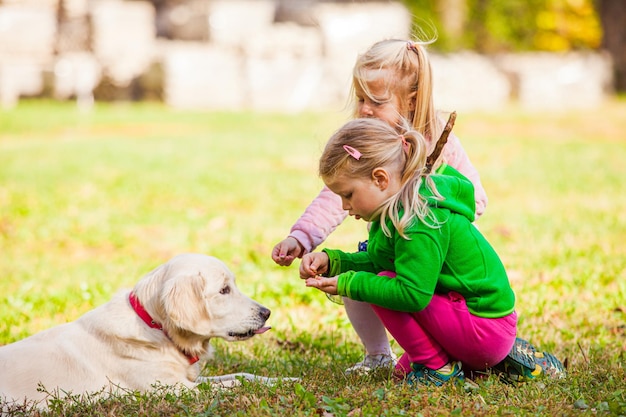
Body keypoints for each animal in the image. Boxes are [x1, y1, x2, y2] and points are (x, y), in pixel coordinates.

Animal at [0, 252, 292, 408]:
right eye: (224, 290)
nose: (266, 312)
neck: (156, 328)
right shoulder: (171, 388)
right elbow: (236, 383)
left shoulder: (188, 380)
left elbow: (244, 374)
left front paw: (286, 380)